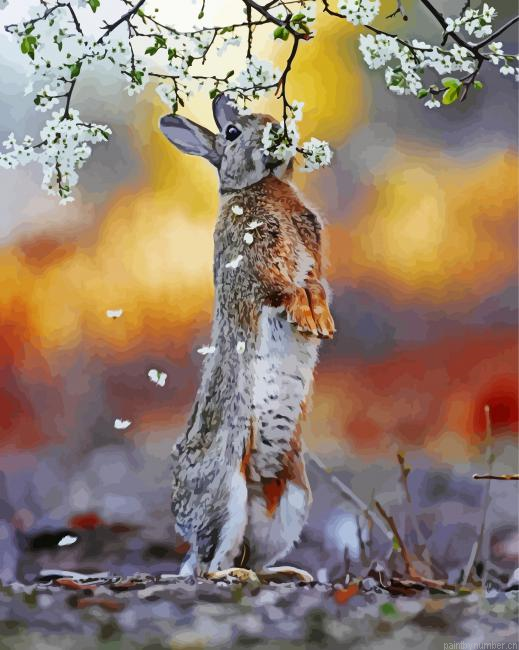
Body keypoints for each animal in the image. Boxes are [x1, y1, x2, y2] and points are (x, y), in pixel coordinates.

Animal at [159, 94, 335, 581]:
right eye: (234, 132)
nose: (280, 131)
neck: (262, 186)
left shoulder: (312, 263)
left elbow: (315, 286)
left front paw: (322, 322)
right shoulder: (255, 266)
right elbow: (284, 289)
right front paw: (307, 319)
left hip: (292, 501)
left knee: (252, 556)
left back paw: (289, 575)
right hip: (226, 492)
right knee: (209, 567)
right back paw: (234, 576)